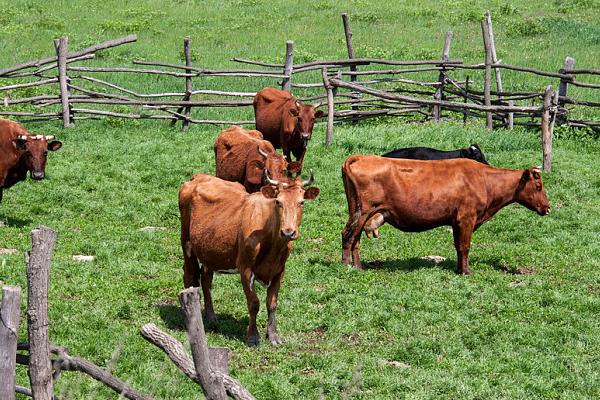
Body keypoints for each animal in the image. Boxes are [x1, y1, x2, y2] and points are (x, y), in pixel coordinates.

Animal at [178, 171, 318, 344]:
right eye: (278, 202)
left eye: (301, 202)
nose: (288, 232)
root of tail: (198, 177)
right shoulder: (245, 268)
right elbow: (254, 303)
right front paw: (252, 336)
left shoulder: (279, 270)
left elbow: (272, 303)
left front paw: (273, 335)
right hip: (186, 243)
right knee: (189, 276)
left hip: (209, 252)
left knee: (206, 280)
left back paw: (211, 317)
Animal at [340, 155, 552, 274]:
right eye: (538, 186)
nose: (548, 208)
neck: (484, 180)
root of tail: (361, 157)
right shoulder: (467, 219)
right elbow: (465, 247)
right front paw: (466, 272)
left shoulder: (456, 222)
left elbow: (458, 247)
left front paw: (459, 269)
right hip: (362, 212)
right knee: (348, 236)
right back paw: (348, 266)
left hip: (359, 213)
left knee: (354, 238)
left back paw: (357, 266)